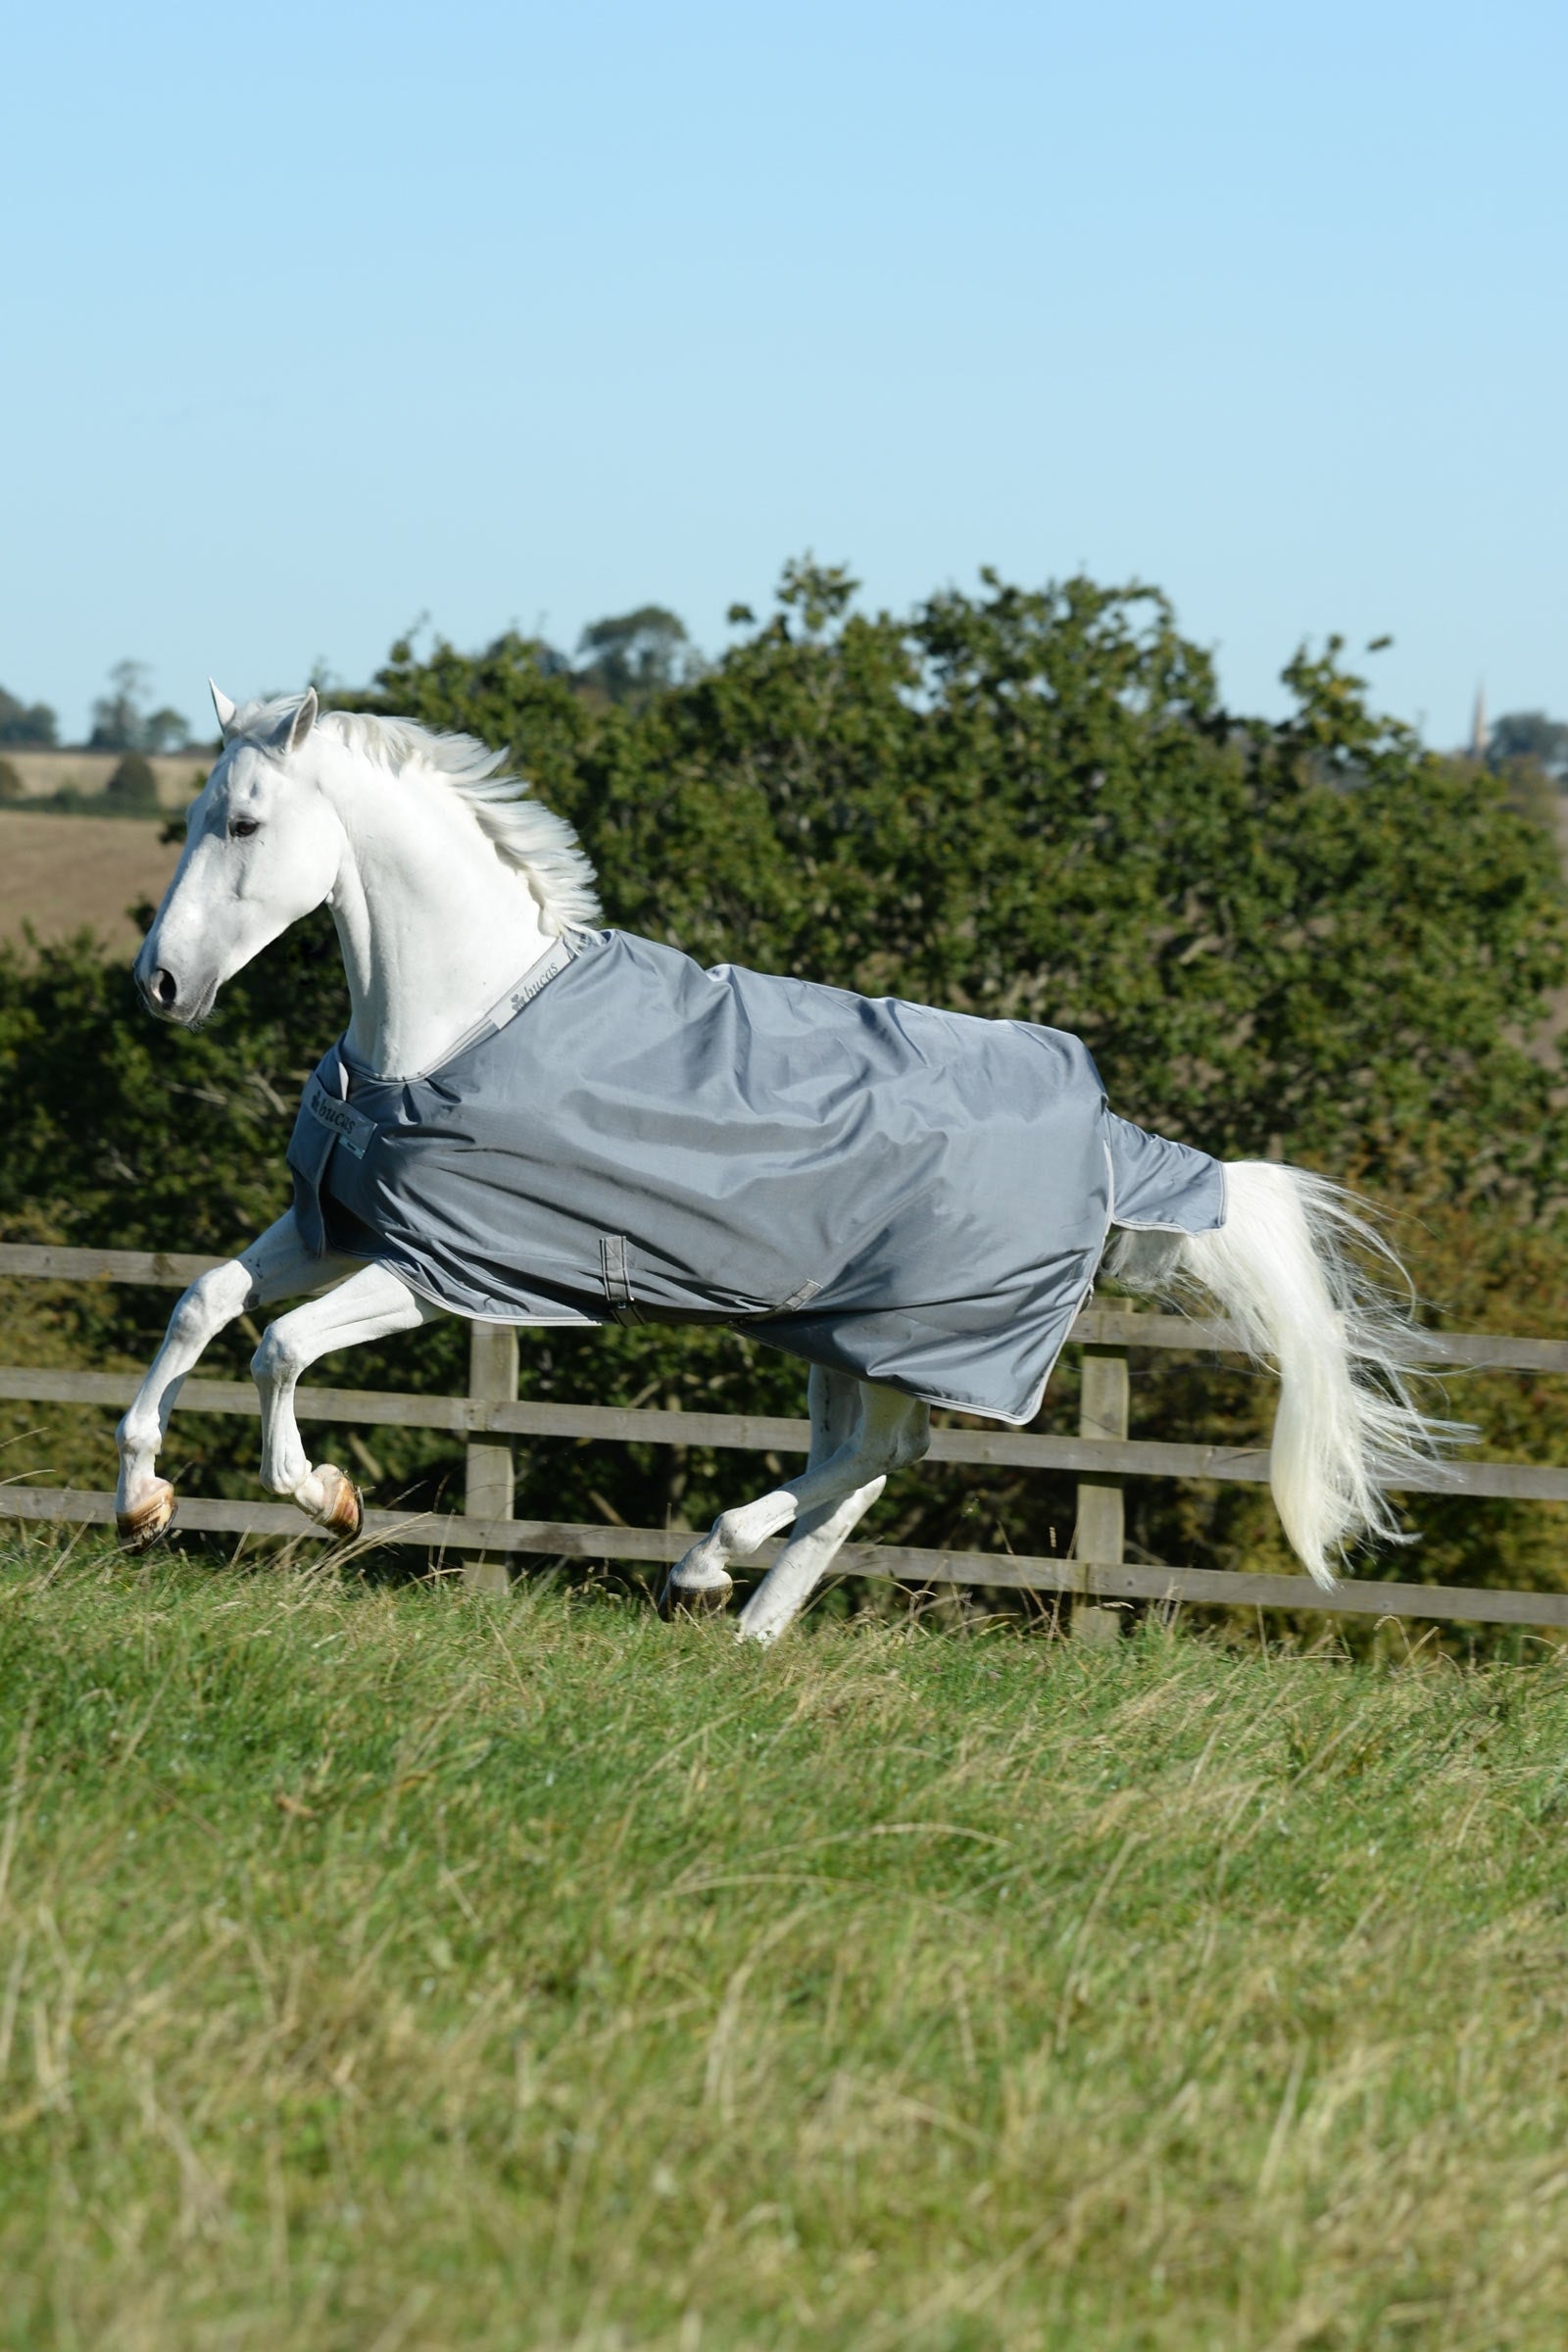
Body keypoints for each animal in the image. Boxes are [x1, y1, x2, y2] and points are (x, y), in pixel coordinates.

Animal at [116, 681, 1450, 1642]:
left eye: (243, 823)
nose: (162, 986)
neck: (457, 1021)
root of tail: (1113, 1137)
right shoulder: (337, 1225)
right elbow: (206, 1303)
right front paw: (140, 1499)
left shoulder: (450, 1272)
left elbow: (281, 1350)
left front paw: (327, 1498)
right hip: (843, 1338)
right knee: (863, 1472)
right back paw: (749, 1623)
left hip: (917, 1338)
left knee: (875, 1459)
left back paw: (705, 1567)